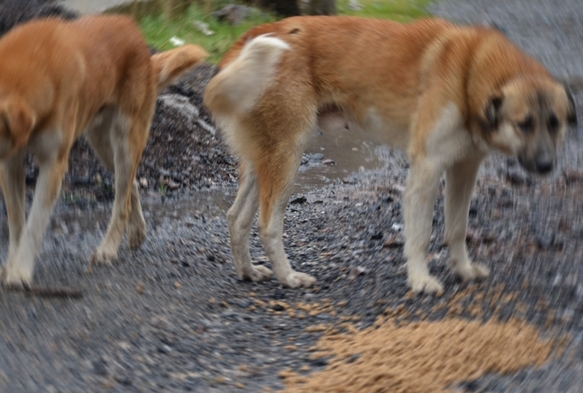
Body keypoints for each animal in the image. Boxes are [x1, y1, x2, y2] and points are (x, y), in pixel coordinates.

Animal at [0, 13, 209, 286]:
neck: (33, 65)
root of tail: (139, 39)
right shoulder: (10, 162)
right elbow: (17, 224)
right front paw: (11, 264)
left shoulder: (53, 165)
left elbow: (34, 226)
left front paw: (21, 271)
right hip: (101, 144)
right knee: (130, 186)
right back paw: (137, 231)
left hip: (124, 141)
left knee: (121, 201)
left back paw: (108, 249)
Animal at [203, 16, 576, 294]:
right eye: (524, 124)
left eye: (555, 123)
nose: (546, 166)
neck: (469, 73)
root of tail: (246, 38)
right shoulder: (427, 169)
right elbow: (420, 235)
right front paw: (421, 280)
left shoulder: (463, 169)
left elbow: (457, 228)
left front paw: (464, 270)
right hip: (286, 159)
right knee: (268, 224)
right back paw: (288, 277)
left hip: (263, 162)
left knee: (236, 217)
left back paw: (248, 271)